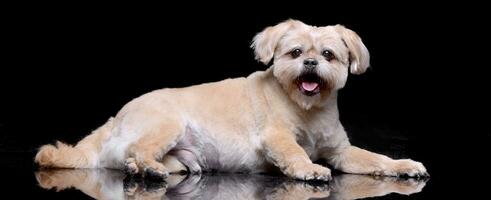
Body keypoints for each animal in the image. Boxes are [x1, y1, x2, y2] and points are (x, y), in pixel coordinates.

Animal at [34, 19, 428, 180]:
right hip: (166, 123)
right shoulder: (276, 138)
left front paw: (402, 165)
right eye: (296, 52)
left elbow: (376, 159)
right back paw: (147, 168)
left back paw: (153, 168)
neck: (308, 109)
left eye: (328, 55)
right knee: (133, 151)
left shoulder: (341, 152)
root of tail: (117, 117)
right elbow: (295, 152)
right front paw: (309, 169)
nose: (311, 63)